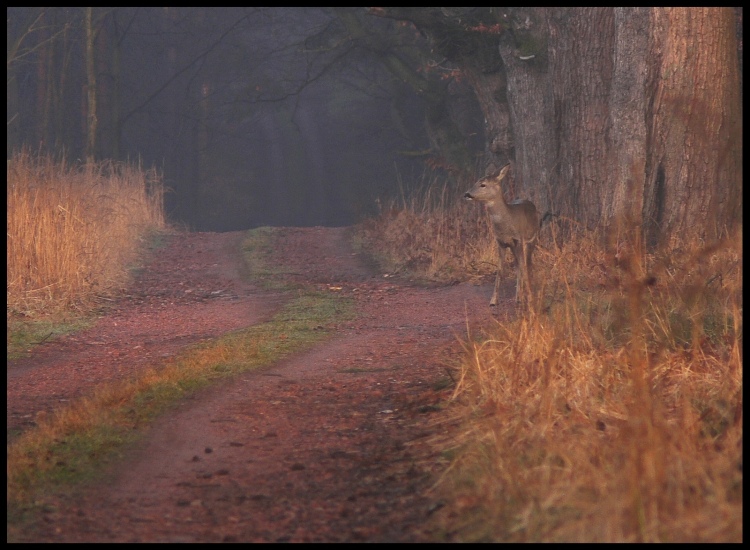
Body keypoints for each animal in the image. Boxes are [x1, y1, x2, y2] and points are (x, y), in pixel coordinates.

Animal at [464, 164, 540, 310]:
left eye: (483, 184)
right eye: (476, 182)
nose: (467, 194)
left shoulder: (518, 240)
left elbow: (523, 267)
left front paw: (529, 298)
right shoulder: (501, 242)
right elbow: (500, 270)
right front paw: (493, 300)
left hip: (531, 240)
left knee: (527, 264)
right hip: (514, 247)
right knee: (518, 266)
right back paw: (518, 297)